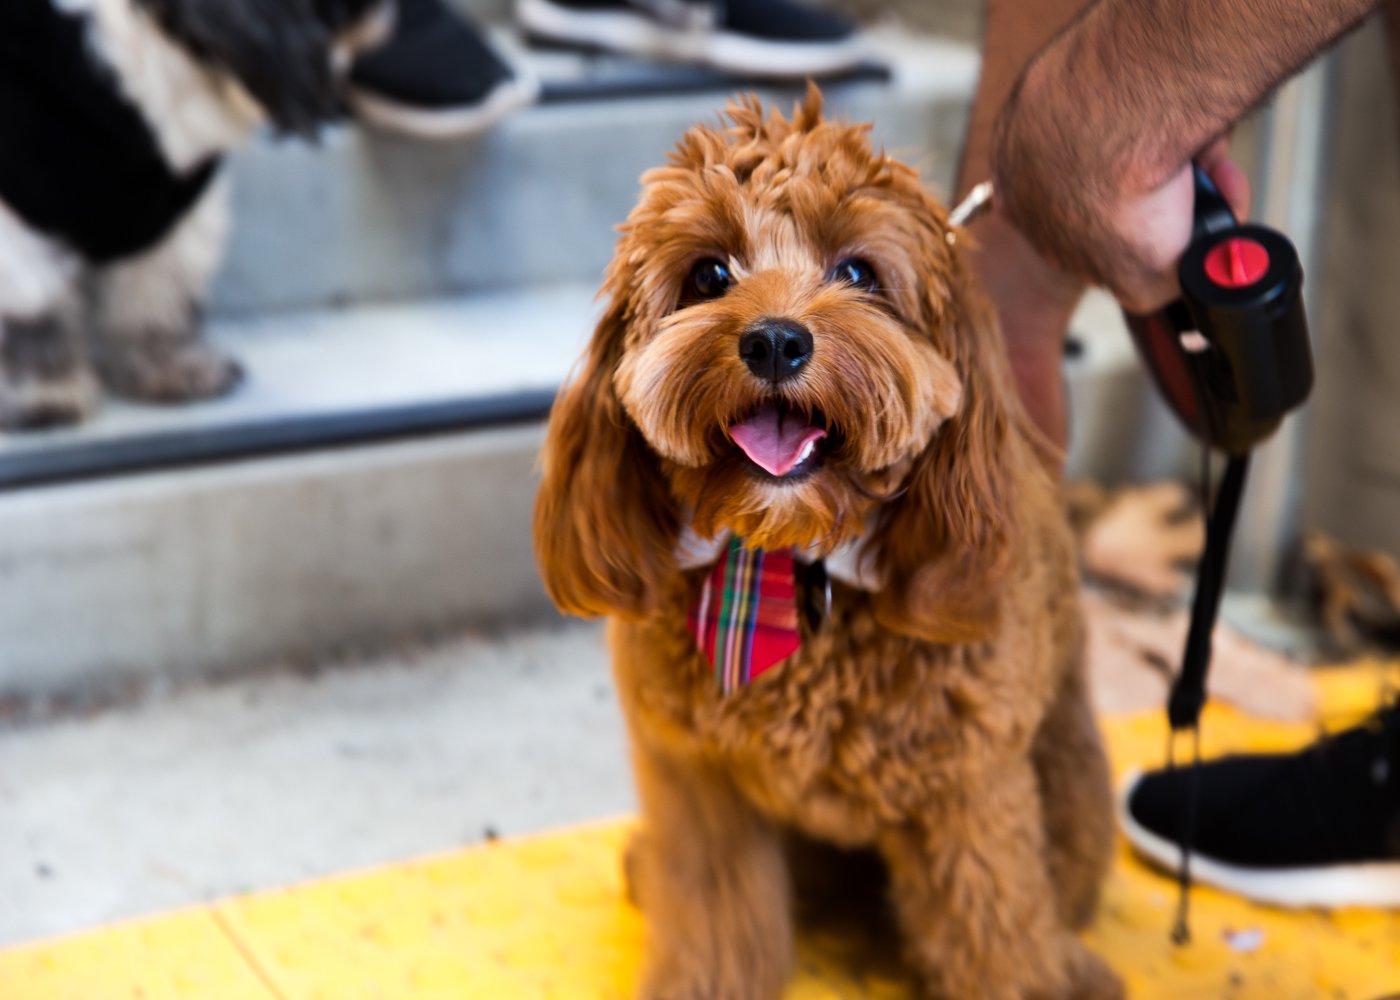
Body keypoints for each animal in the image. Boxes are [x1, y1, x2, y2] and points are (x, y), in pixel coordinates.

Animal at [0, 0, 394, 425]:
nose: (390, 15)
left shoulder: (174, 221)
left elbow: (160, 299)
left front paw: (174, 366)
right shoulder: (17, 226)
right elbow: (35, 312)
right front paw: (45, 388)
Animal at [529, 87, 1120, 997]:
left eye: (857, 273)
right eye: (709, 275)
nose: (775, 340)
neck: (787, 566)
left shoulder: (972, 794)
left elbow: (997, 940)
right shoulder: (696, 785)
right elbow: (714, 927)